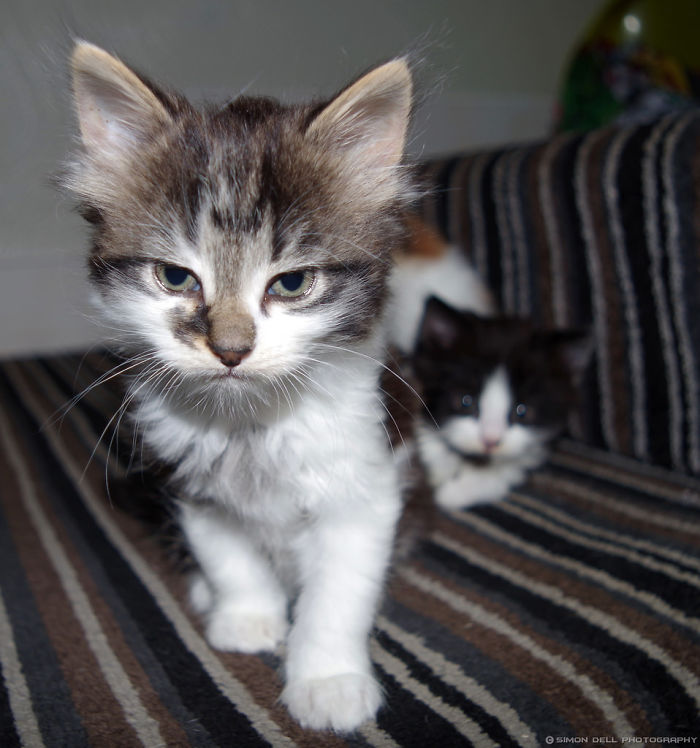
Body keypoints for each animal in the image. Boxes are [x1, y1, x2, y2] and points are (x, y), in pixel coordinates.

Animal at [63, 39, 416, 732]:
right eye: (176, 277)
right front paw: (248, 616)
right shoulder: (192, 481)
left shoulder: (363, 486)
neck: (251, 423)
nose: (229, 349)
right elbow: (229, 554)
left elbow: (339, 593)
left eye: (291, 283)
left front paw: (327, 679)